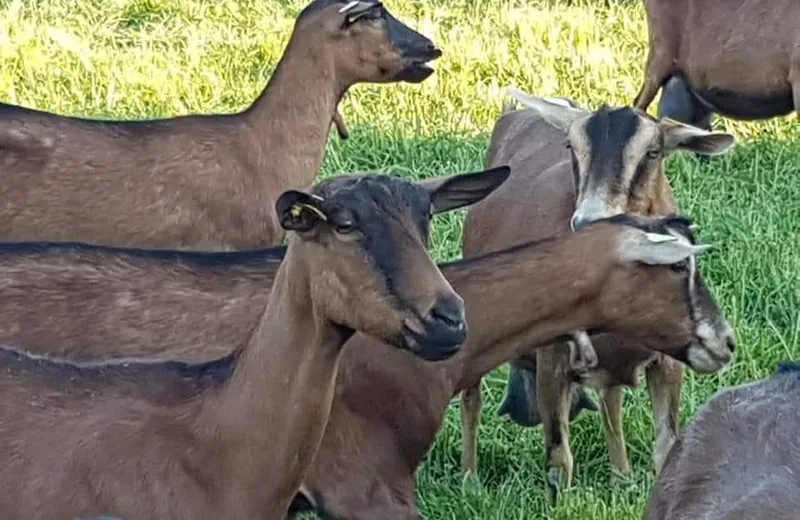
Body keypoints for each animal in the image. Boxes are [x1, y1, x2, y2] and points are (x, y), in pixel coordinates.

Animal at [456, 87, 736, 502]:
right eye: (570, 146)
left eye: (653, 152)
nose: (590, 220)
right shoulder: (553, 354)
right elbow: (559, 461)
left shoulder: (669, 359)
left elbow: (666, 446)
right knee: (471, 397)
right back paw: (470, 481)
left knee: (611, 400)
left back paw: (621, 474)